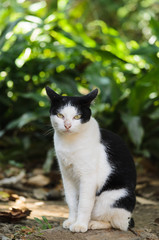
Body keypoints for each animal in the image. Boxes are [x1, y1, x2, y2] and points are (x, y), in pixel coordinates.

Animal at [45, 86, 136, 232]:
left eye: (77, 117)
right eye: (60, 115)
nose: (67, 125)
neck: (70, 144)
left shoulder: (88, 177)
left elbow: (84, 203)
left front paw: (80, 225)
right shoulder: (67, 175)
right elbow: (71, 201)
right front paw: (72, 221)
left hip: (112, 198)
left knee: (118, 224)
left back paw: (93, 223)